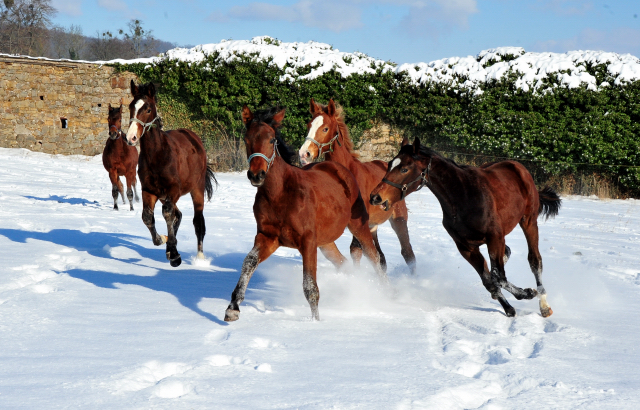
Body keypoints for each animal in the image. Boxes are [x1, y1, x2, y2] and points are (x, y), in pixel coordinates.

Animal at [124, 81, 219, 268]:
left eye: (148, 109)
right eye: (131, 106)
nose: (131, 138)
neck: (157, 155)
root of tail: (194, 138)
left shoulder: (173, 190)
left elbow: (168, 214)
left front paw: (175, 255)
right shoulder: (149, 191)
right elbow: (148, 217)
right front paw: (164, 240)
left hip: (196, 189)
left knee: (198, 221)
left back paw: (200, 258)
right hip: (163, 195)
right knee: (178, 214)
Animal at [225, 106, 384, 324]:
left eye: (272, 140)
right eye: (247, 139)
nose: (256, 175)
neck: (281, 194)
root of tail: (340, 168)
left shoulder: (307, 242)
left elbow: (310, 287)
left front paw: (315, 323)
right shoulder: (268, 237)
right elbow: (249, 262)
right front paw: (233, 308)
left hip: (358, 226)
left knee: (373, 257)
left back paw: (386, 295)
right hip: (325, 242)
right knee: (343, 264)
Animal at [302, 97, 420, 274]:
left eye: (325, 128)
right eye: (309, 125)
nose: (304, 154)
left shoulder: (359, 223)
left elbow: (356, 250)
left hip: (398, 219)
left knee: (407, 252)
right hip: (373, 227)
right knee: (382, 257)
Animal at [370, 138, 560, 318]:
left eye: (404, 169)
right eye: (389, 164)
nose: (375, 197)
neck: (463, 197)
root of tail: (518, 166)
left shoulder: (494, 237)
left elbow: (498, 276)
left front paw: (527, 293)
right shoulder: (466, 247)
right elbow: (488, 280)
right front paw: (509, 309)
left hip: (528, 221)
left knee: (535, 260)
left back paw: (544, 305)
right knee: (505, 255)